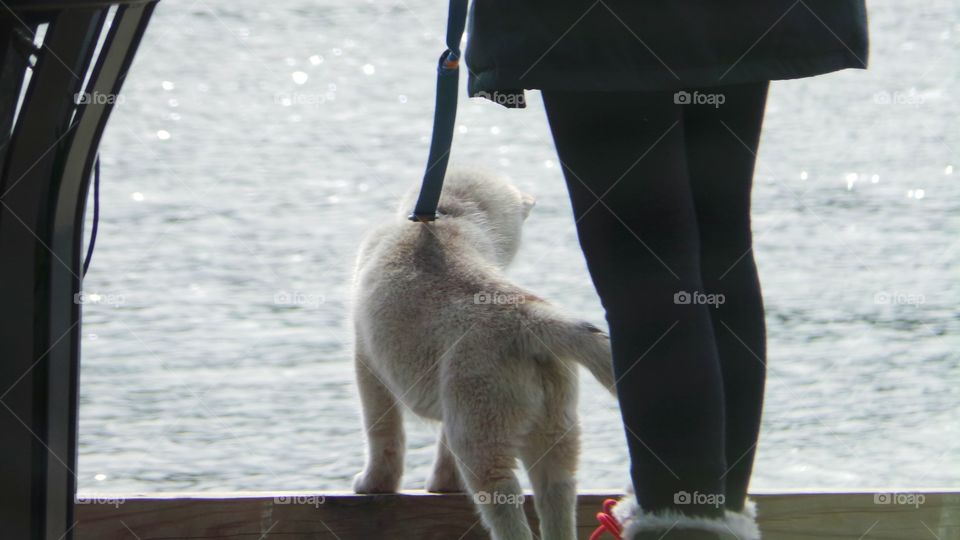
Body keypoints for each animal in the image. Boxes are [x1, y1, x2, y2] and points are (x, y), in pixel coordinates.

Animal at [350, 169, 616, 540]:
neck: (449, 216)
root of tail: (530, 319)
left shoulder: (366, 358)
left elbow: (383, 433)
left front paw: (374, 484)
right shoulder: (451, 403)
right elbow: (443, 450)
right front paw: (444, 485)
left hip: (483, 441)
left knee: (508, 510)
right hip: (553, 434)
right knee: (558, 496)